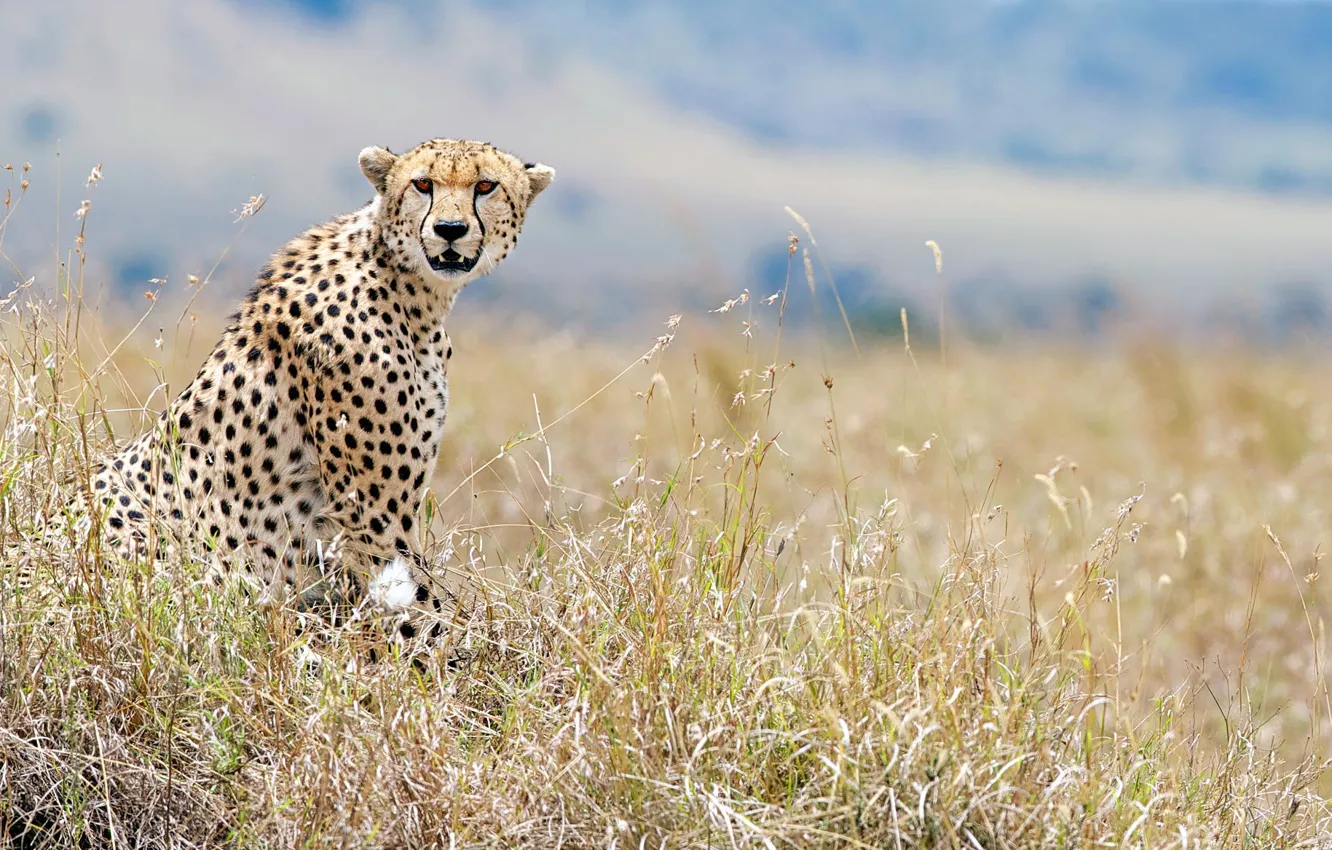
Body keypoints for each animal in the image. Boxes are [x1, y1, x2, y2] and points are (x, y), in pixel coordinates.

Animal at [82, 137, 554, 645]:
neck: (408, 288)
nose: (450, 229)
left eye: (485, 186)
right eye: (423, 183)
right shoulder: (373, 514)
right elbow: (422, 607)